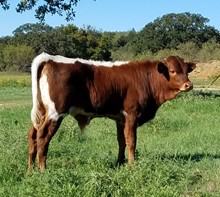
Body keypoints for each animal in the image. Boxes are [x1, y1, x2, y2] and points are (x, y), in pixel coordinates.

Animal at [27, 53, 196, 172]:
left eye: (187, 71)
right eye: (172, 71)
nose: (189, 85)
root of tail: (49, 58)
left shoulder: (120, 119)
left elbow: (121, 141)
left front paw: (120, 163)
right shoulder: (132, 114)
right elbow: (131, 141)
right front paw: (131, 166)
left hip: (42, 111)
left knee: (32, 135)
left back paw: (30, 170)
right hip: (56, 113)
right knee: (42, 136)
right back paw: (43, 169)